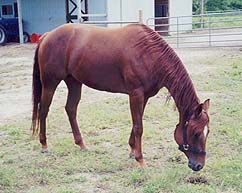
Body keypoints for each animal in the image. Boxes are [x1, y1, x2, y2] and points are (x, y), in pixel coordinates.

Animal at [31, 23, 210, 172]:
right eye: (196, 133)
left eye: (207, 132)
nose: (198, 165)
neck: (148, 54)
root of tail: (47, 35)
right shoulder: (136, 94)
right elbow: (139, 127)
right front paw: (140, 160)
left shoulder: (144, 96)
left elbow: (136, 123)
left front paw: (132, 151)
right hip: (50, 83)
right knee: (44, 110)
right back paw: (44, 145)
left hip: (74, 82)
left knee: (70, 109)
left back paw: (81, 144)